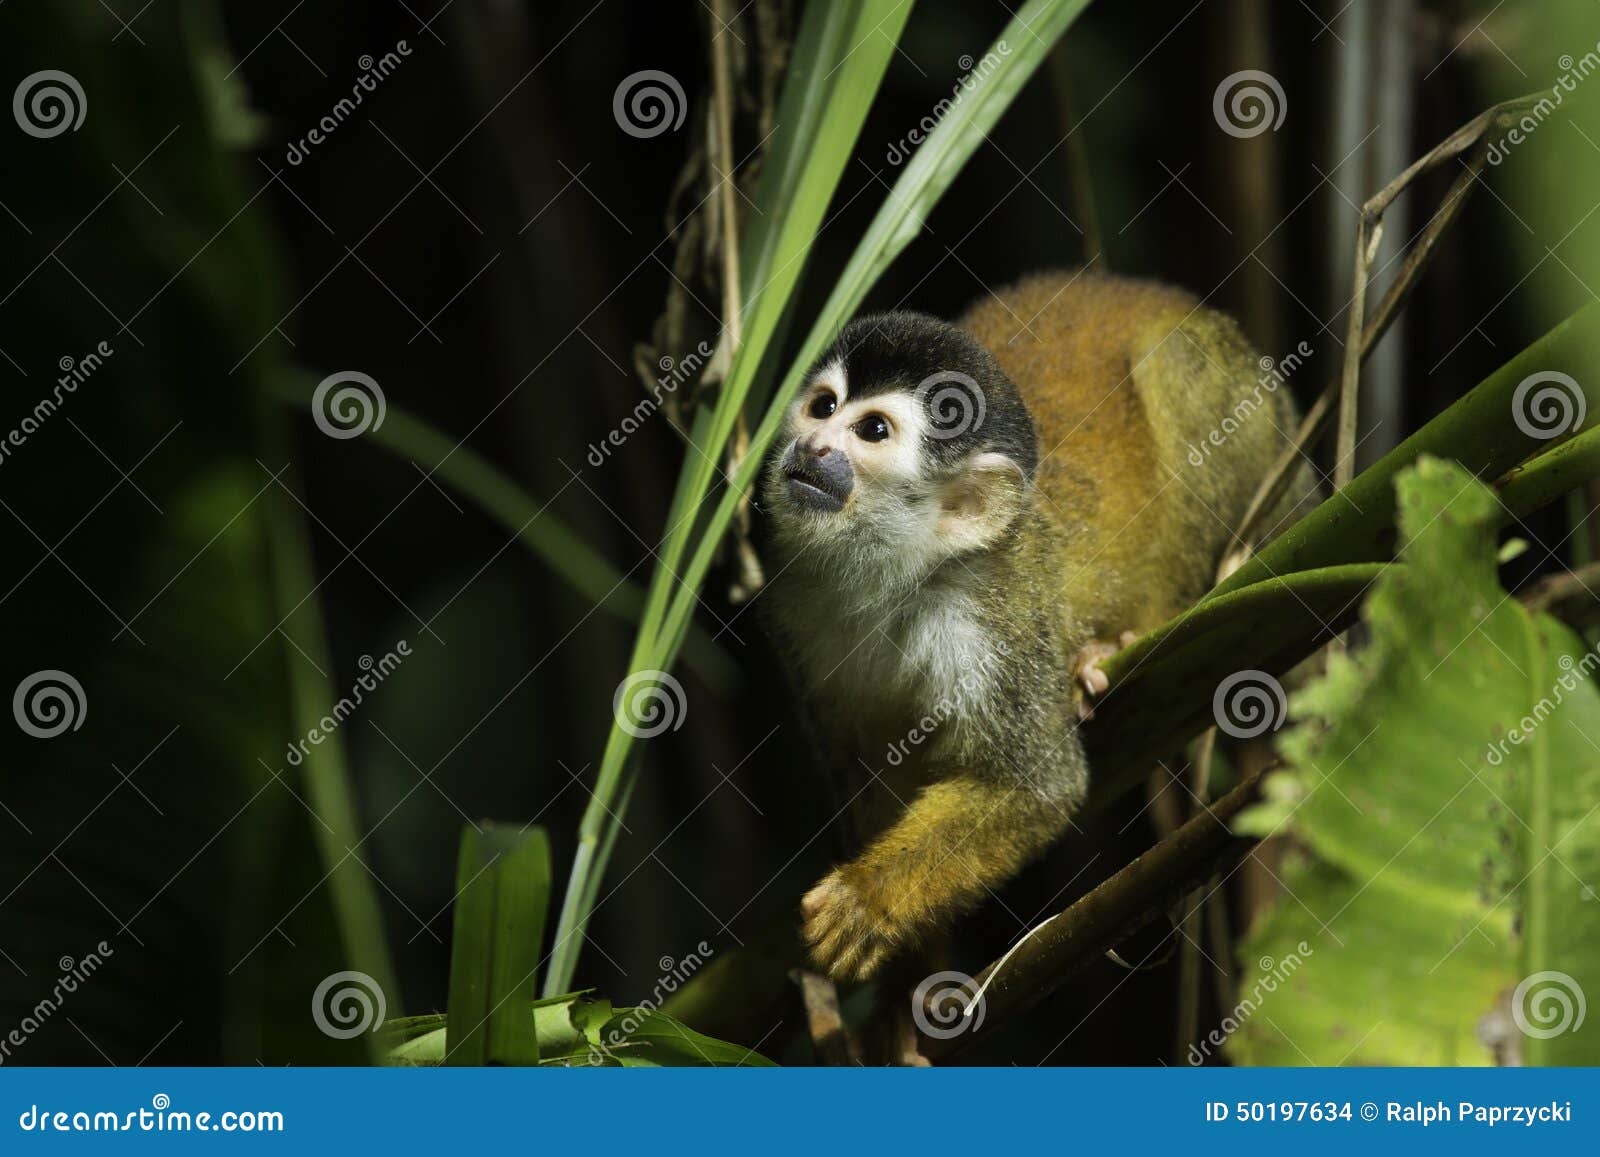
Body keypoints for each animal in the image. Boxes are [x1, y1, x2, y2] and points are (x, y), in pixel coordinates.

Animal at [761, 268, 1312, 979]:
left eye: (873, 431)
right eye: (823, 406)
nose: (812, 446)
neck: (897, 572)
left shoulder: (996, 619)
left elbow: (1035, 786)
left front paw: (867, 900)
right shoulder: (798, 607)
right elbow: (871, 782)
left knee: (1177, 364)